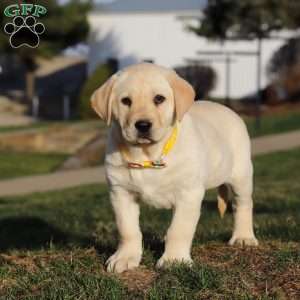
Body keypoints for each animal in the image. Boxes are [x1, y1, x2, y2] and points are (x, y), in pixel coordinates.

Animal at [91, 63, 258, 274]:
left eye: (159, 98)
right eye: (126, 101)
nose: (143, 125)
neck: (148, 155)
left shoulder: (188, 193)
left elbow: (179, 229)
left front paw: (174, 260)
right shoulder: (120, 192)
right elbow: (127, 230)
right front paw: (125, 257)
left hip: (241, 175)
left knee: (242, 204)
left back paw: (244, 236)